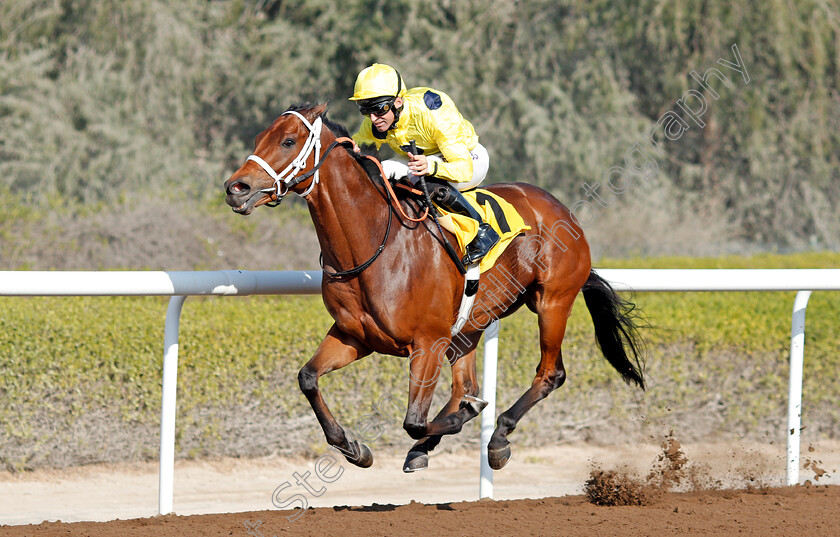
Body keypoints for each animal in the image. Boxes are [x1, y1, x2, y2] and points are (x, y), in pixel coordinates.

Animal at [223, 102, 644, 472]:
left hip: (552, 302)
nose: (235, 187)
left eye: (288, 141)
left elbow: (413, 420)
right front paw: (354, 448)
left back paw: (497, 439)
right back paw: (429, 446)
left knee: (549, 374)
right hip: (470, 324)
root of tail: (561, 209)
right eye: (260, 137)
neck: (375, 243)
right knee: (465, 385)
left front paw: (463, 420)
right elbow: (308, 378)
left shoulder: (427, 343)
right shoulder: (354, 335)